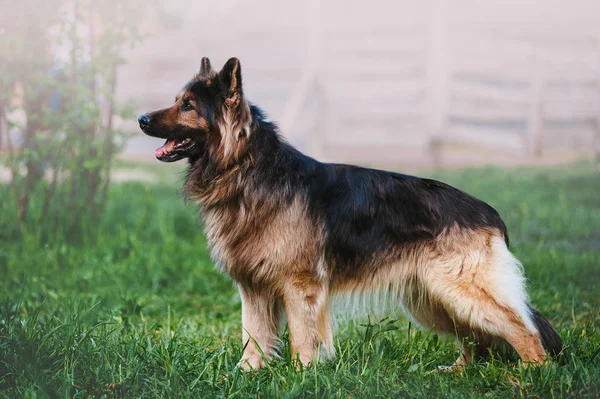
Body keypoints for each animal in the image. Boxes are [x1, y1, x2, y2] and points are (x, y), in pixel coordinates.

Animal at [137, 57, 564, 372]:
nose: (141, 119)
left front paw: (303, 376)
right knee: (479, 339)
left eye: (188, 106)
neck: (245, 169)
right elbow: (253, 338)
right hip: (433, 297)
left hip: (459, 291)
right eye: (178, 100)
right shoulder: (254, 289)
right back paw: (458, 372)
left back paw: (528, 375)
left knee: (525, 332)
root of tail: (490, 214)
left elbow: (303, 339)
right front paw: (246, 376)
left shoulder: (300, 286)